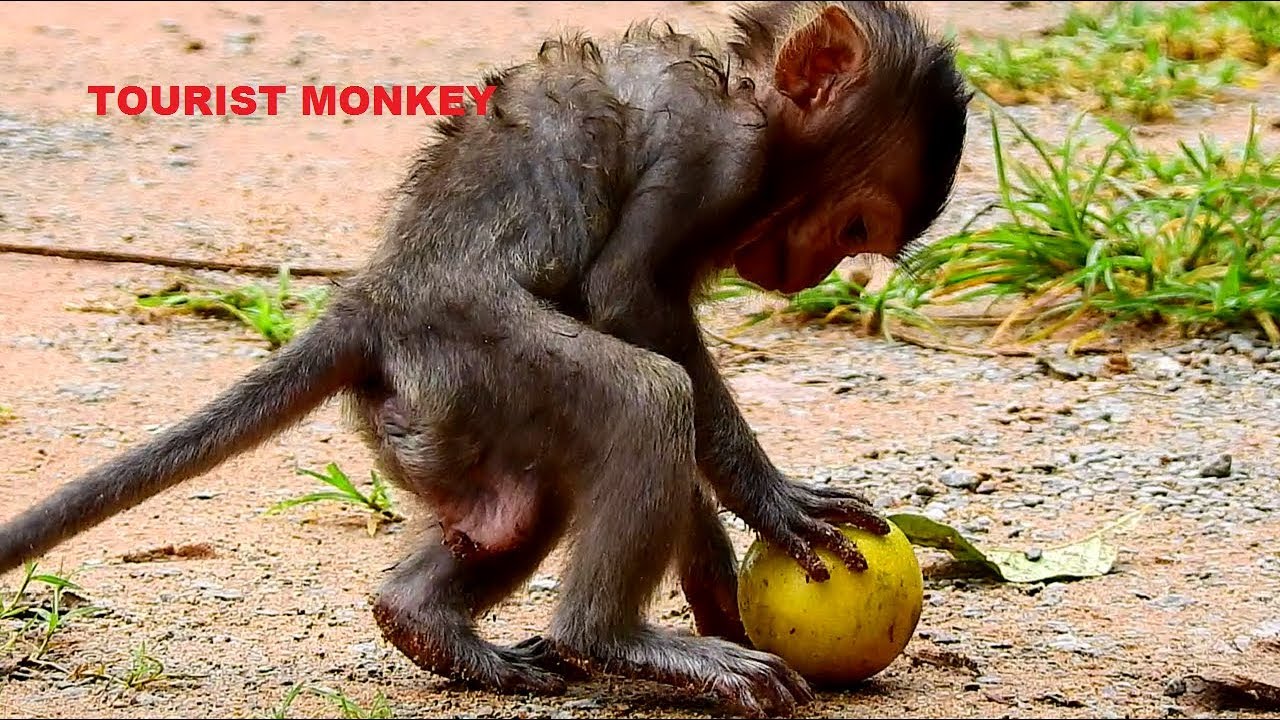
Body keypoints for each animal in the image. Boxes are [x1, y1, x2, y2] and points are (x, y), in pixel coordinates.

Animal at [0, 2, 970, 716]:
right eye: (854, 226)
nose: (813, 276)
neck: (748, 93)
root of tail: (377, 296)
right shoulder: (715, 153)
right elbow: (628, 301)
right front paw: (769, 502)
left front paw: (720, 595)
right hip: (470, 345)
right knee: (647, 396)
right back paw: (612, 641)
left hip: (443, 406)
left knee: (518, 506)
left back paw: (426, 622)